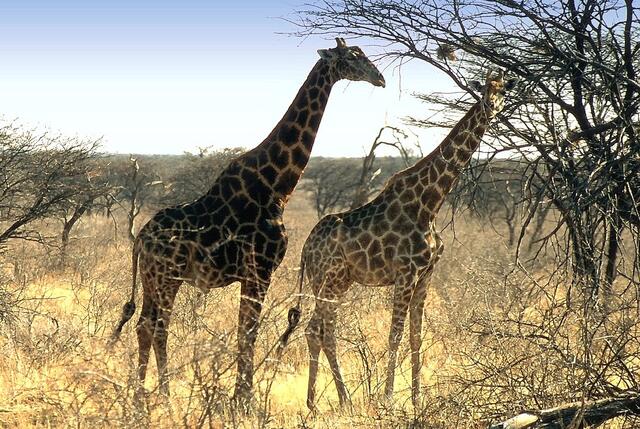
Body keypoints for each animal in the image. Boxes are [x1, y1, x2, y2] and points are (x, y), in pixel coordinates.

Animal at [110, 38, 385, 406]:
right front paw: (245, 400)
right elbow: (249, 332)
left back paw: (144, 396)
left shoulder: (251, 274)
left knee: (144, 324)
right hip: (167, 276)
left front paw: (239, 397)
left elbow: (245, 330)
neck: (277, 186)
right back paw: (160, 396)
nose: (380, 78)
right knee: (156, 325)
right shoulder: (261, 270)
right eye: (354, 56)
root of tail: (140, 238)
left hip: (153, 279)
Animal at [279, 70, 517, 409]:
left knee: (322, 330)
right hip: (330, 279)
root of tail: (305, 250)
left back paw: (330, 400)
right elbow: (395, 335)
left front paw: (417, 399)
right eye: (485, 90)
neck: (430, 203)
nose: (491, 107)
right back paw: (326, 401)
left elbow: (417, 336)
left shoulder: (427, 274)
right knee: (317, 329)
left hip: (333, 281)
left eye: (503, 91)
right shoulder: (406, 273)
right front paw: (389, 398)